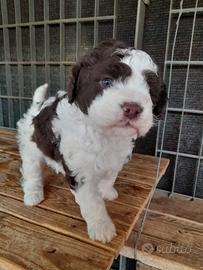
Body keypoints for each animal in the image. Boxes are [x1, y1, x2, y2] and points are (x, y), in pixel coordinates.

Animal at [17, 39, 167, 243]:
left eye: (150, 91)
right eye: (106, 82)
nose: (133, 108)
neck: (104, 134)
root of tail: (37, 108)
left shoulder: (115, 159)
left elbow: (110, 176)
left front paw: (107, 191)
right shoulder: (80, 172)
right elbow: (92, 203)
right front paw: (102, 228)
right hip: (31, 147)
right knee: (31, 171)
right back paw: (33, 194)